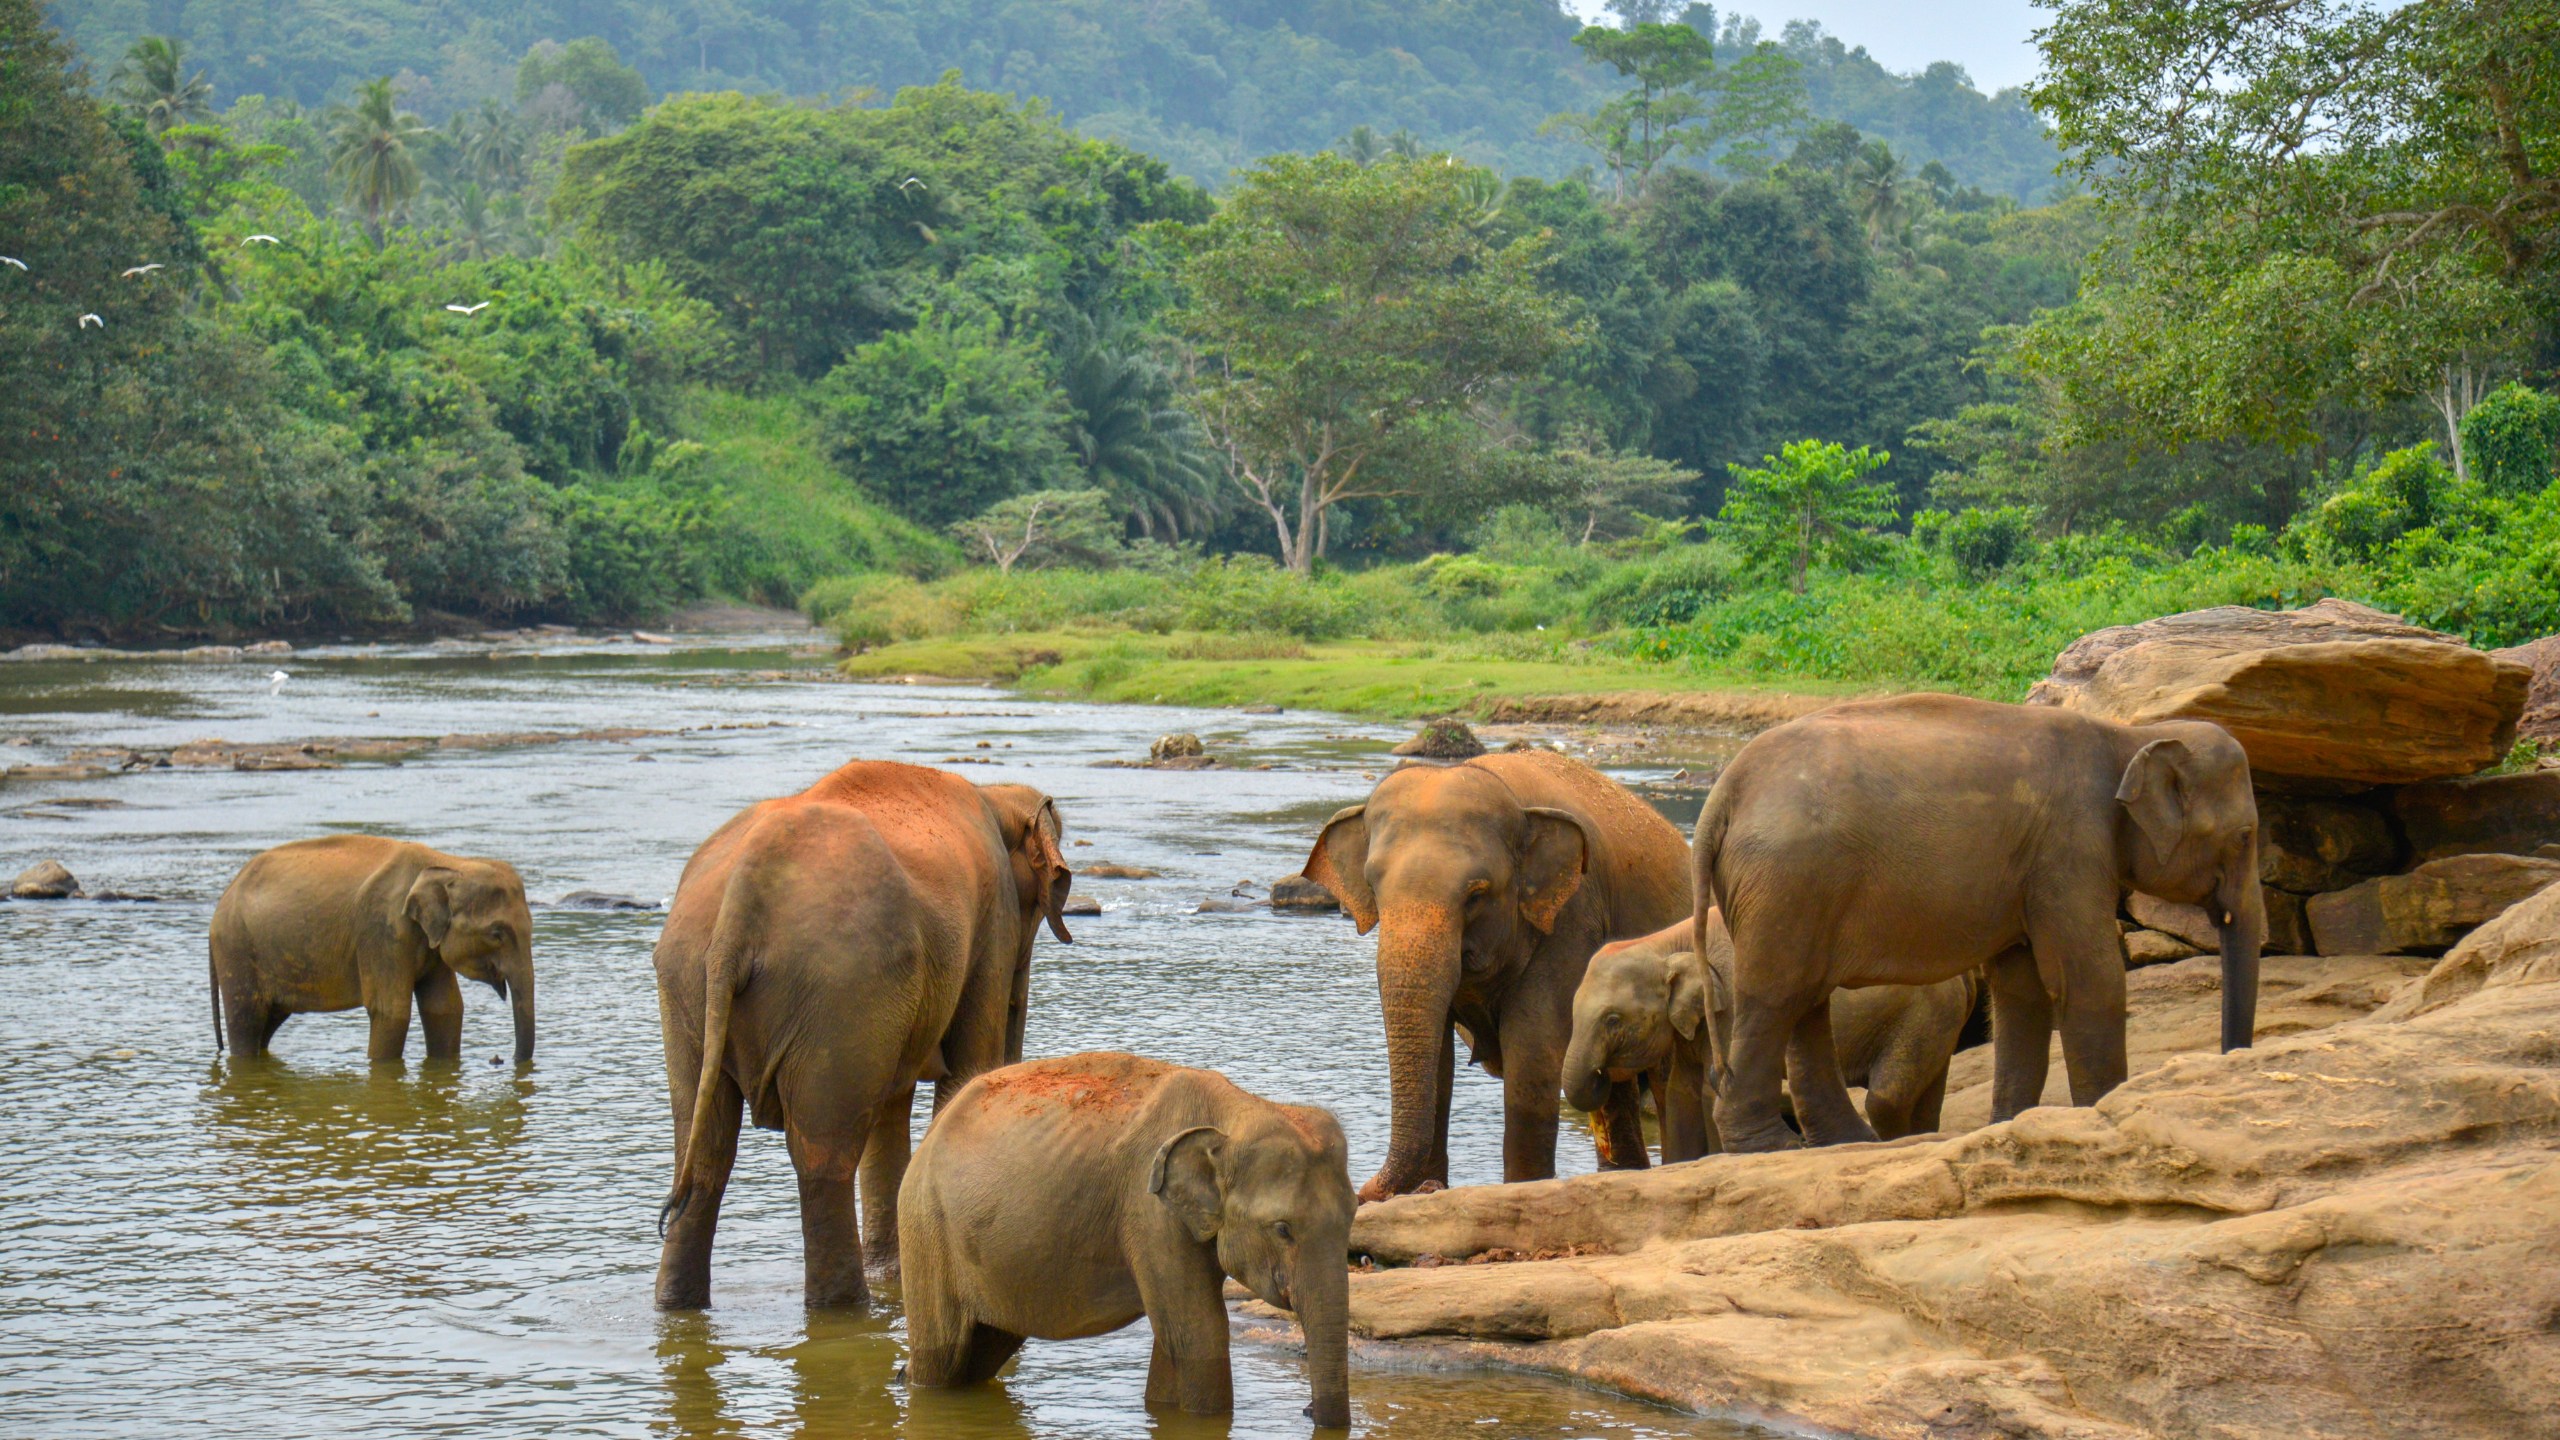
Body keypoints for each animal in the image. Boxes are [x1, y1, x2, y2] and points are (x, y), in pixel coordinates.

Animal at [208, 835, 535, 1060]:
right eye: (497, 933)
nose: (500, 1059)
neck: (447, 862)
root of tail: (223, 898)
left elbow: (445, 1008)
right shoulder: (383, 931)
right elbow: (391, 1011)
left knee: (268, 1021)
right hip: (236, 949)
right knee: (246, 1019)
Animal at [655, 758, 1075, 1306]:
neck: (993, 794)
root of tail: (738, 907)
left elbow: (892, 1100)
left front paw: (893, 1272)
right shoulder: (992, 921)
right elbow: (968, 1061)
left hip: (688, 984)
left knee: (704, 1152)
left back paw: (678, 1305)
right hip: (839, 985)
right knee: (823, 1158)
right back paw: (844, 1308)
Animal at [896, 1040, 1351, 1424]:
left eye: (1349, 1222)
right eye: (1283, 1229)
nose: (1307, 1411)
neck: (1235, 1111)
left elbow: (1173, 1337)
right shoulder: (1148, 1210)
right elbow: (1197, 1333)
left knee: (986, 1347)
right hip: (925, 1226)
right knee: (943, 1352)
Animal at [1300, 743, 1699, 1194]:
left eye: (1477, 894)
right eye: (1372, 887)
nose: (1366, 1189)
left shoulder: (1572, 915)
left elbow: (1533, 1049)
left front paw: (1522, 1187)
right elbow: (1439, 1063)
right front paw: (1431, 1188)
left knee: (1664, 1081)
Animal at [1699, 691, 2263, 1147]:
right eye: (2245, 838)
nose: (2232, 1060)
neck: (2130, 735)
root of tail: (1722, 793)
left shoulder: (2034, 866)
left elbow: (2021, 991)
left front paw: (2010, 1124)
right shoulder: (2070, 846)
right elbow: (2088, 978)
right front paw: (2102, 1112)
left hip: (1791, 889)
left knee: (1804, 999)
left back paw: (1843, 1142)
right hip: (1786, 880)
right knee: (1775, 995)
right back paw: (1769, 1146)